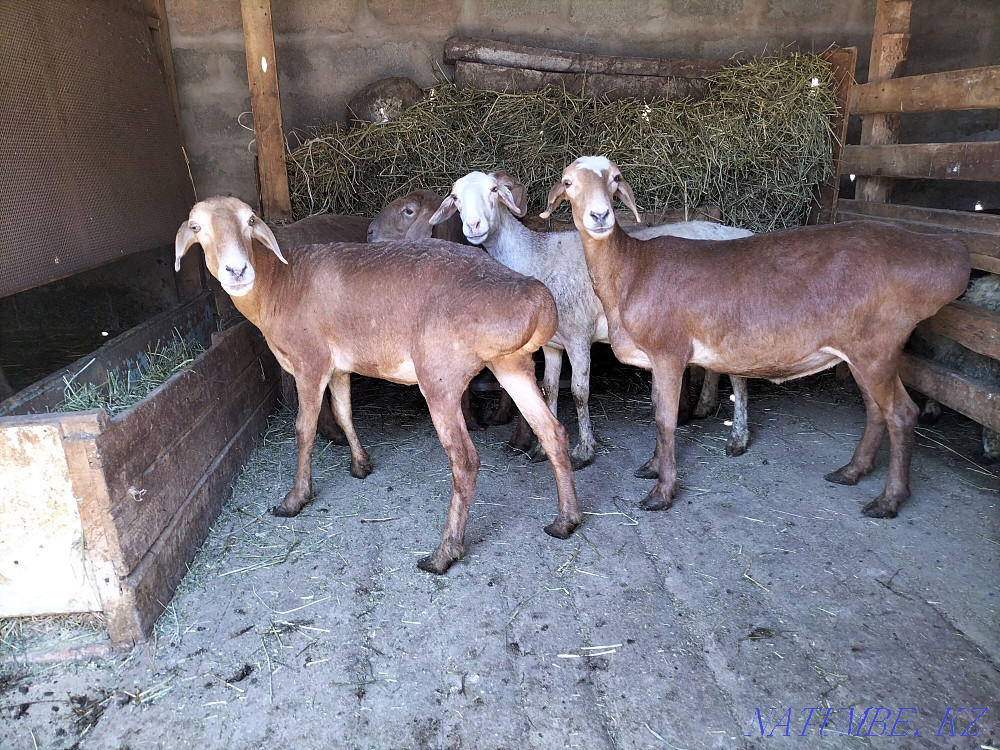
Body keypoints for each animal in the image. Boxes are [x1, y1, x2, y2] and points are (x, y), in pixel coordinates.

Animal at [174, 196, 582, 574]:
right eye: (197, 227)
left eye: (250, 221)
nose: (237, 270)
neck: (279, 283)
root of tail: (536, 300)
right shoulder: (338, 367)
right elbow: (343, 412)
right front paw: (360, 465)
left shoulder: (310, 362)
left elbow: (304, 428)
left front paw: (294, 499)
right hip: (511, 365)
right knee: (553, 432)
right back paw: (566, 520)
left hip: (441, 375)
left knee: (466, 461)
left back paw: (444, 552)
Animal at [427, 170, 755, 471]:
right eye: (455, 197)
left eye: (494, 190)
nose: (473, 226)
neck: (535, 256)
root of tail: (738, 232)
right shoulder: (553, 344)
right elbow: (549, 389)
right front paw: (542, 450)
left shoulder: (578, 335)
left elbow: (579, 393)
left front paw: (584, 450)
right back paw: (705, 406)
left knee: (739, 378)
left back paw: (737, 439)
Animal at [541, 155, 970, 517]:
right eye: (568, 182)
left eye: (615, 179)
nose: (600, 215)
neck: (632, 269)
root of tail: (948, 258)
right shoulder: (659, 358)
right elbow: (659, 412)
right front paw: (652, 466)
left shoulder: (669, 351)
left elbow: (664, 419)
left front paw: (661, 492)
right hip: (864, 351)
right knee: (875, 409)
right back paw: (851, 471)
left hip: (877, 347)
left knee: (902, 414)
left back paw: (888, 499)